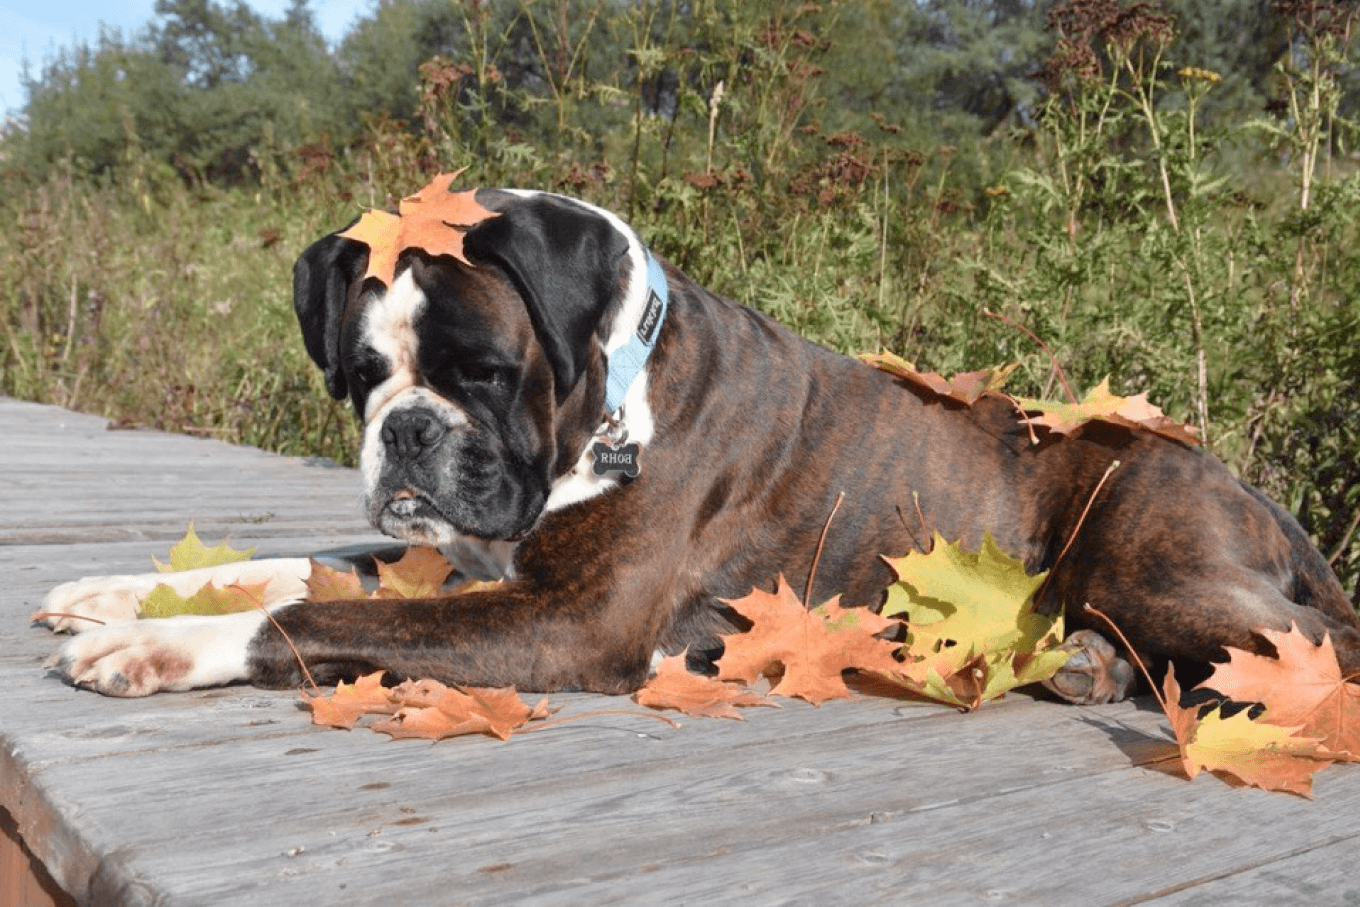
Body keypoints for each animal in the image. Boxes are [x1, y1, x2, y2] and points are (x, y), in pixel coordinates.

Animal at [39, 179, 1360, 701]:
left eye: (484, 374)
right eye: (360, 379)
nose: (406, 433)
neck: (610, 391)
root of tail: (1238, 481)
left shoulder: (566, 620)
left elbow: (305, 617)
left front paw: (160, 646)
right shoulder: (457, 564)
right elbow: (291, 568)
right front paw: (112, 596)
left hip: (1154, 564)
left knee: (1308, 643)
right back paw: (1082, 666)